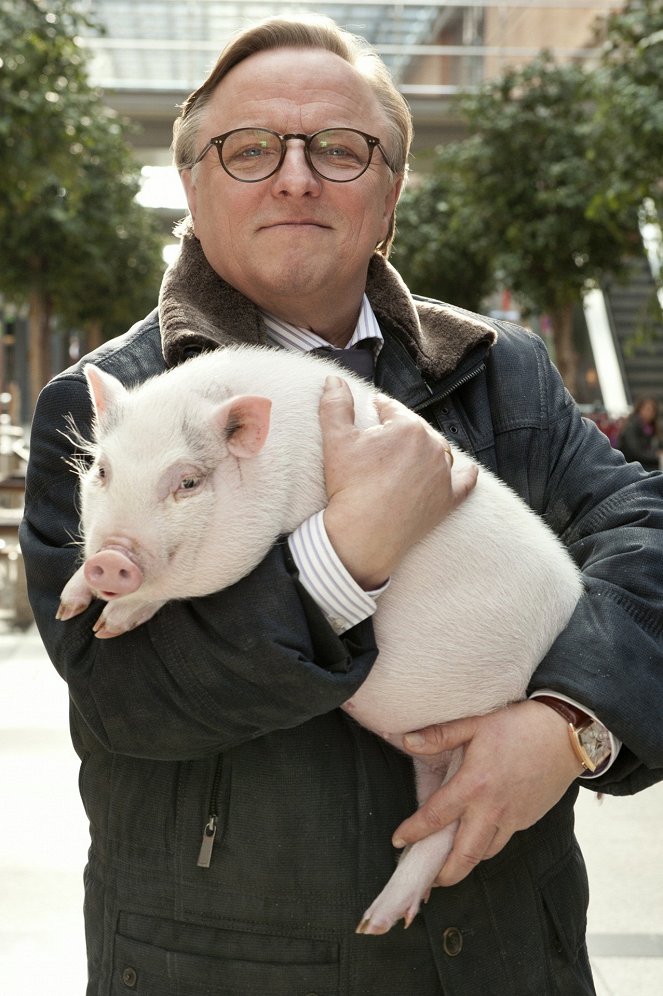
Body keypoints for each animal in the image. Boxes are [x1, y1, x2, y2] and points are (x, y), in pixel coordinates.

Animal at [59, 346, 584, 936]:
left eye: (188, 484)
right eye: (103, 470)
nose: (111, 558)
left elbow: (179, 591)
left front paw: (109, 622)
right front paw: (69, 605)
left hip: (488, 734)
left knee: (448, 827)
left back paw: (374, 922)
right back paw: (383, 916)